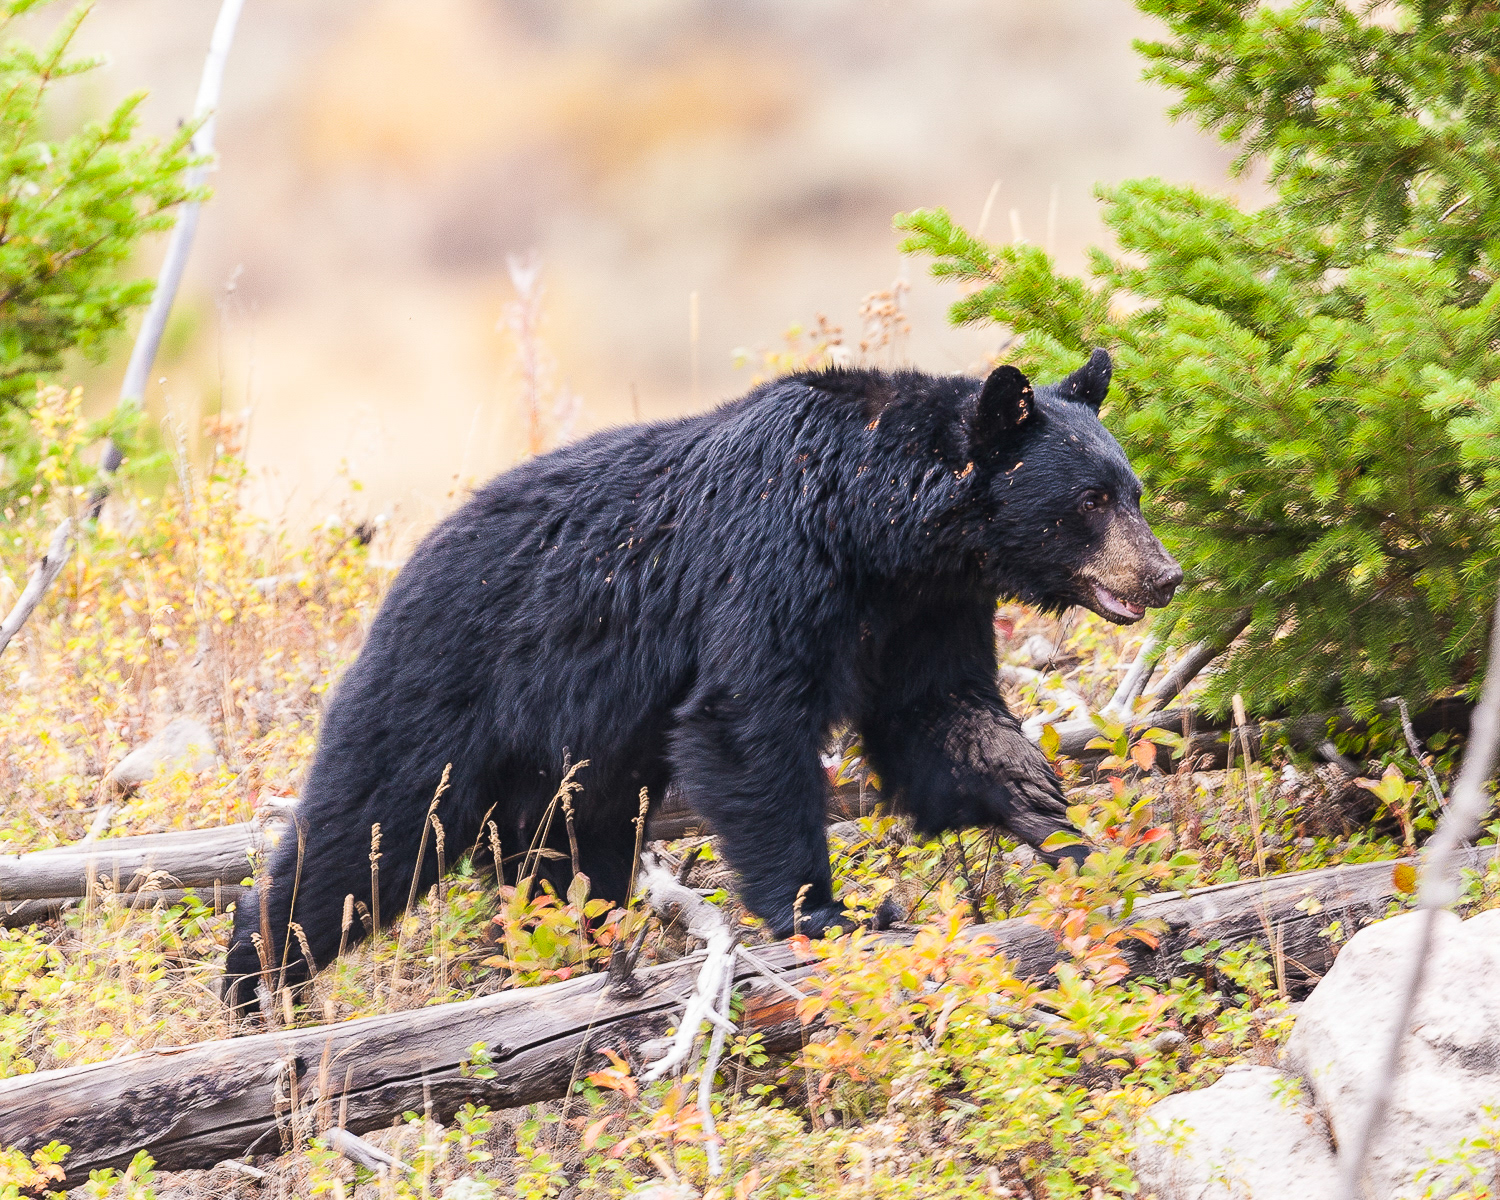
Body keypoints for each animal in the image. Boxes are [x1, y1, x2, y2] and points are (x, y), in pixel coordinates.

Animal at [223, 348, 1180, 1014]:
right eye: (1091, 501)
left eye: (1132, 489)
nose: (1165, 576)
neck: (878, 526)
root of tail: (403, 571)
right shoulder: (774, 560)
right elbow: (745, 720)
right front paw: (824, 911)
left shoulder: (927, 611)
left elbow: (935, 714)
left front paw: (1045, 809)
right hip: (446, 692)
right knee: (362, 838)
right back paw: (257, 979)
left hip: (569, 768)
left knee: (567, 864)